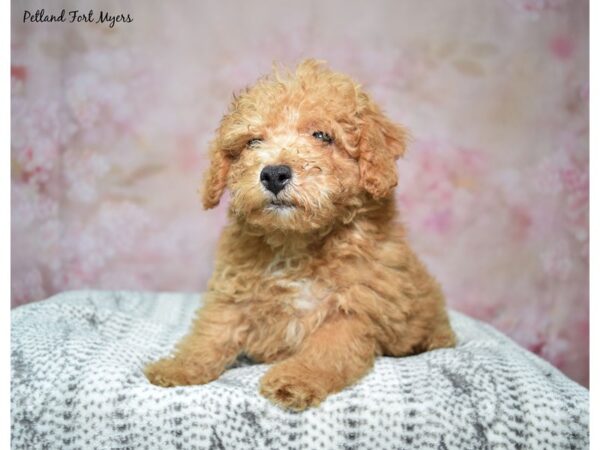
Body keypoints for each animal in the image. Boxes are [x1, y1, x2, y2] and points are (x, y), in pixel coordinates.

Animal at [145, 59, 454, 412]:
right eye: (253, 142)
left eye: (322, 135)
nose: (273, 173)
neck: (296, 242)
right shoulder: (233, 292)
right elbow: (211, 331)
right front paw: (179, 367)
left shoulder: (353, 308)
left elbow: (325, 350)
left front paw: (295, 379)